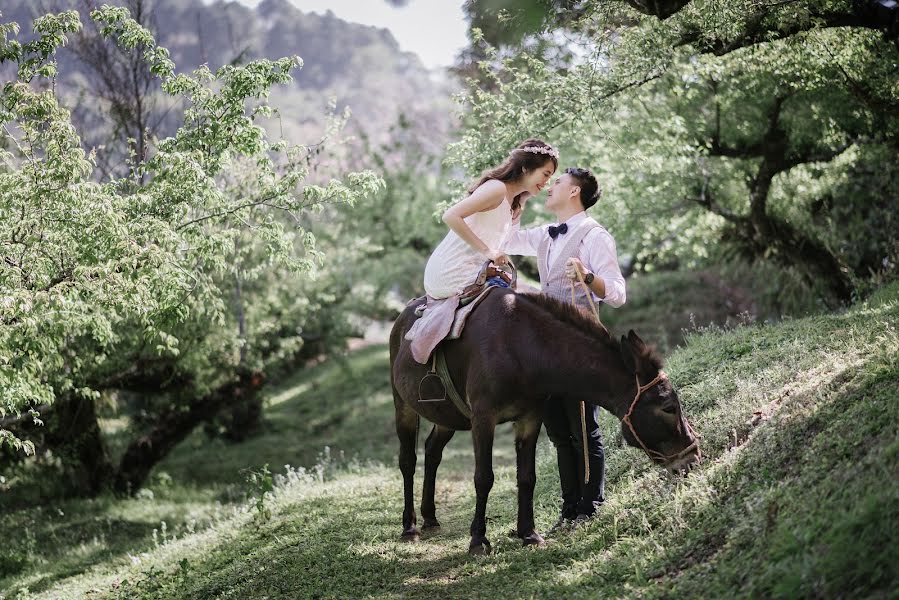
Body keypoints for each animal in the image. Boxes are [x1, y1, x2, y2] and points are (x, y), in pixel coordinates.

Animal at [390, 288, 700, 556]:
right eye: (669, 408)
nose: (694, 458)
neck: (519, 345)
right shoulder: (483, 419)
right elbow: (484, 478)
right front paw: (478, 540)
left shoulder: (530, 418)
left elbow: (527, 477)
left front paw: (529, 534)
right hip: (403, 406)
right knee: (408, 461)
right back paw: (410, 527)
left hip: (447, 417)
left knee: (432, 451)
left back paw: (430, 517)